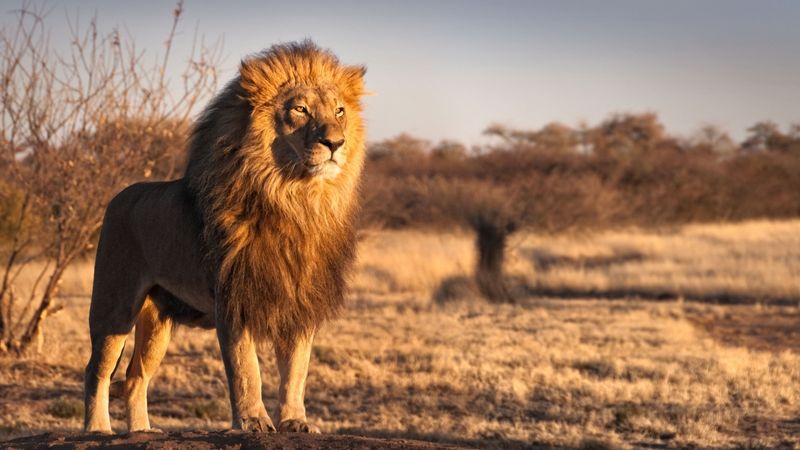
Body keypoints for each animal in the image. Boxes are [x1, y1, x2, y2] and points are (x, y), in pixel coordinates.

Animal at [83, 41, 367, 434]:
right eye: (300, 109)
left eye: (339, 111)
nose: (335, 142)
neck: (296, 200)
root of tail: (119, 196)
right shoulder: (233, 296)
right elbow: (246, 368)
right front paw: (253, 421)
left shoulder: (299, 301)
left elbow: (296, 370)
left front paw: (295, 421)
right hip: (115, 304)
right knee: (97, 370)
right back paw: (97, 429)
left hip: (157, 321)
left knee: (135, 376)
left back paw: (141, 431)